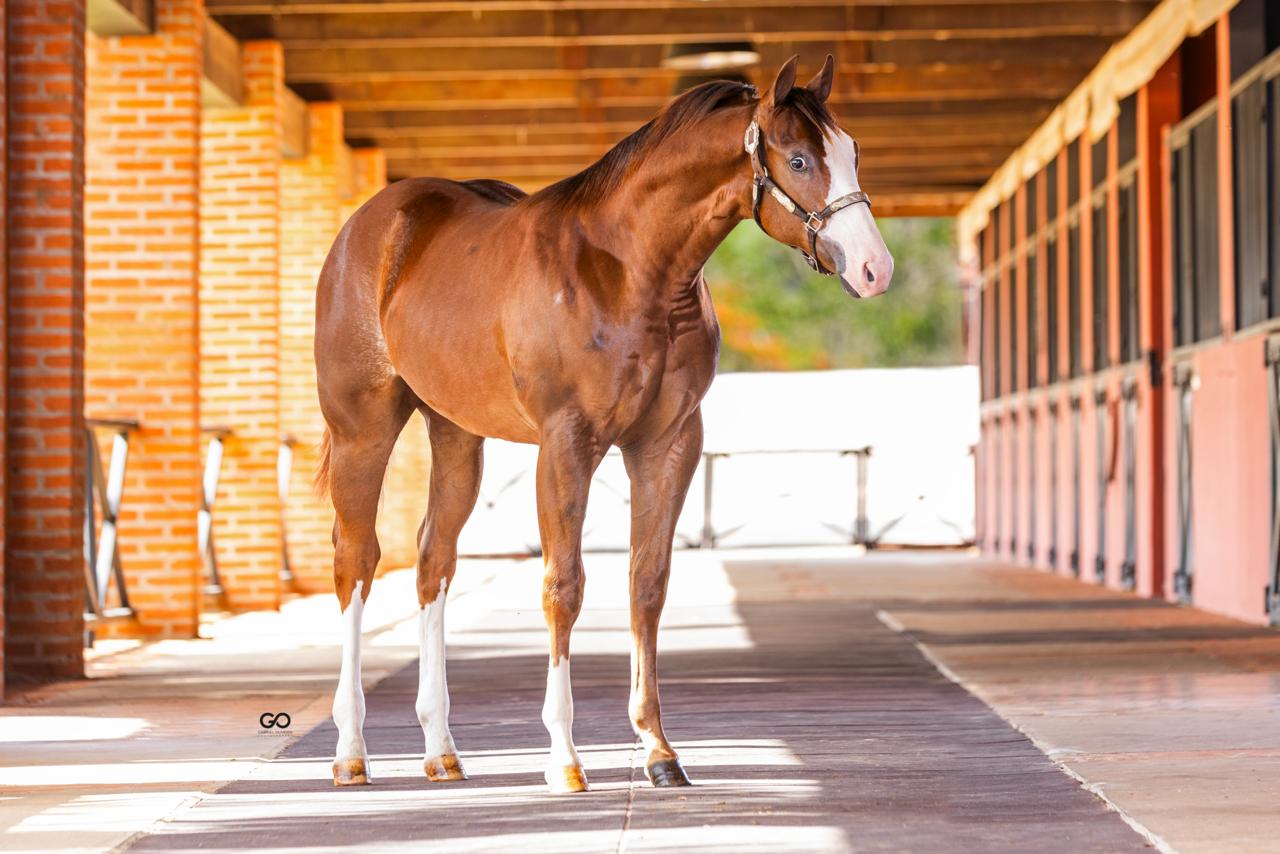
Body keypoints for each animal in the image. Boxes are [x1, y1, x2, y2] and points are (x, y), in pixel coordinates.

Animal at [313, 54, 894, 795]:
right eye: (796, 159)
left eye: (852, 152)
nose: (876, 270)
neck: (628, 271)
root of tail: (371, 227)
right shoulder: (568, 442)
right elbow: (564, 587)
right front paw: (564, 757)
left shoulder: (669, 443)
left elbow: (647, 585)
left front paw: (658, 751)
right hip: (363, 426)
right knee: (355, 562)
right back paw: (350, 751)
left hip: (456, 435)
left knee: (432, 561)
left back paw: (441, 751)